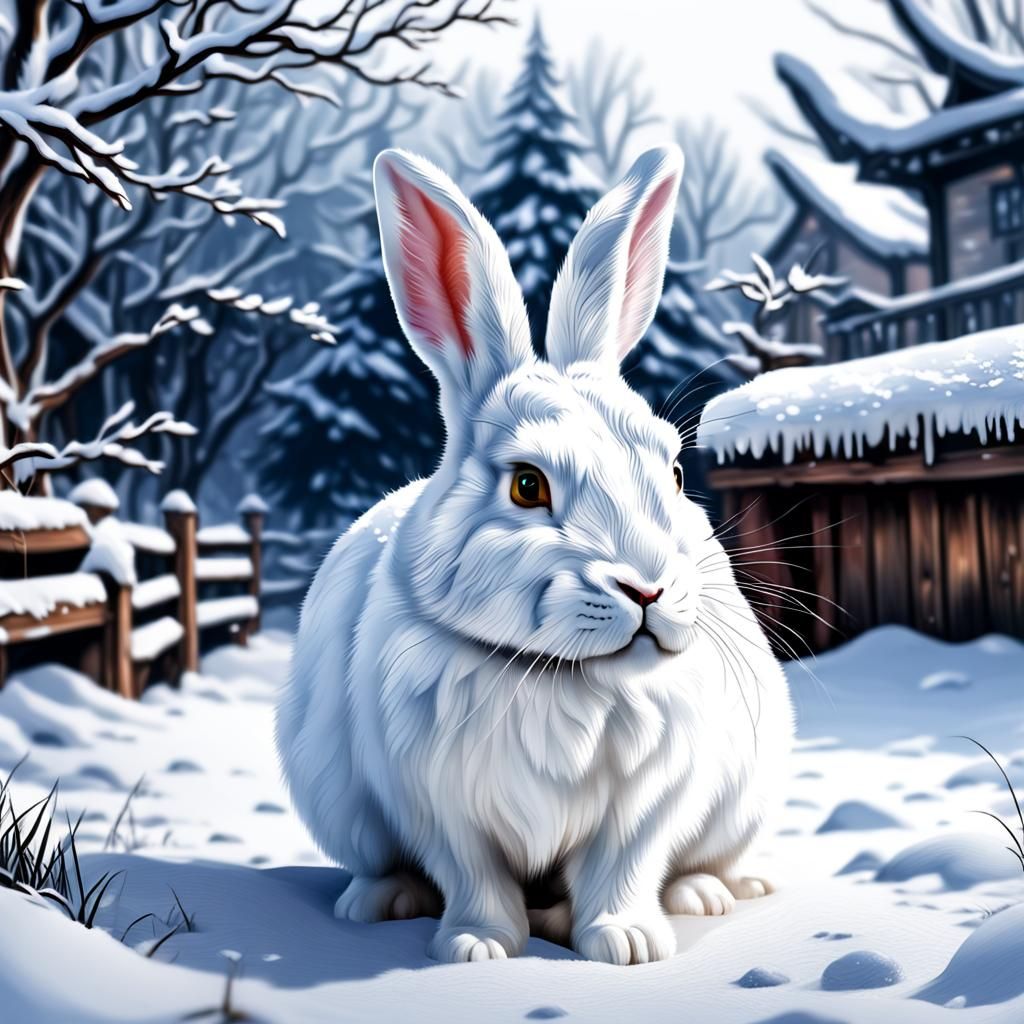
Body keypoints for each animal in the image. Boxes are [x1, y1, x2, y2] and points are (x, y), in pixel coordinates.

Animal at [276, 144, 793, 966]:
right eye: (527, 485)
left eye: (677, 473)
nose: (647, 590)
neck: (565, 675)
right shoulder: (440, 808)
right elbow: (473, 876)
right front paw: (477, 948)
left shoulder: (647, 805)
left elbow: (624, 868)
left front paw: (628, 945)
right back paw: (378, 902)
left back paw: (708, 894)